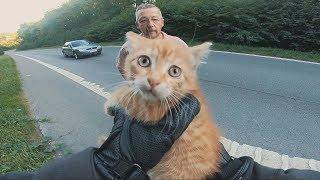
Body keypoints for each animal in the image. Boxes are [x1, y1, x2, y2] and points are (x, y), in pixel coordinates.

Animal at [106, 31, 221, 179]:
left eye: (175, 71)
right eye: (144, 61)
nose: (153, 80)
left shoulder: (153, 111)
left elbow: (128, 95)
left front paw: (110, 102)